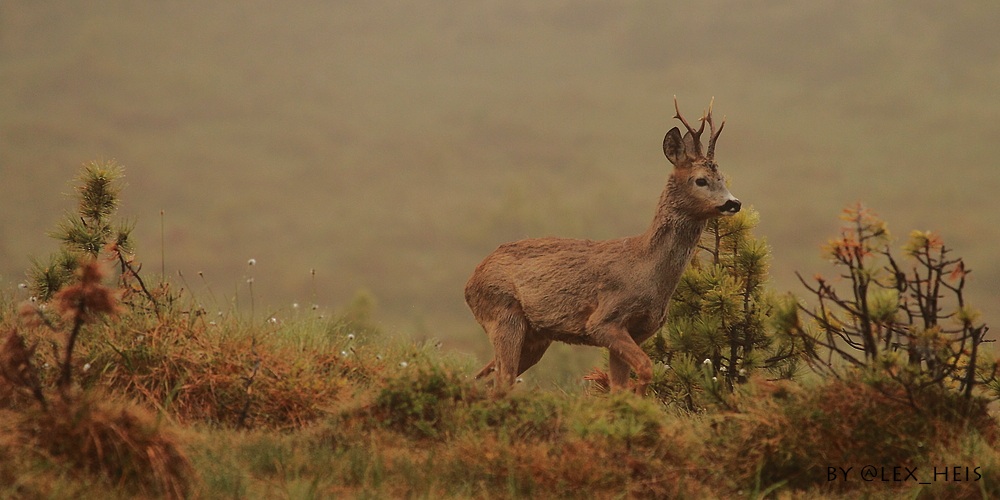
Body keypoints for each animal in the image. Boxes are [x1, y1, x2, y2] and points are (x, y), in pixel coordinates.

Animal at [464, 96, 740, 394]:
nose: (733, 203)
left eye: (722, 177)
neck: (646, 268)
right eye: (701, 180)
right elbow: (645, 368)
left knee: (488, 377)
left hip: (535, 336)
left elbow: (619, 385)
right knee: (501, 380)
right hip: (503, 312)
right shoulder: (604, 320)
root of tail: (470, 282)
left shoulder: (638, 331)